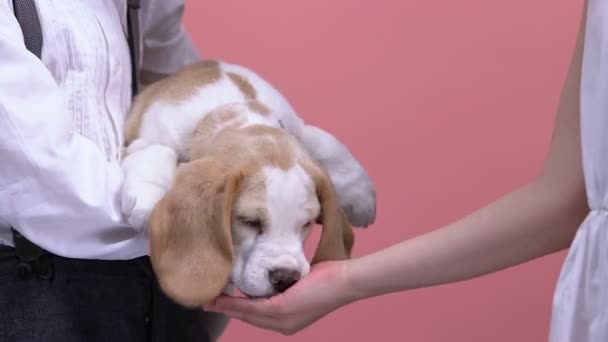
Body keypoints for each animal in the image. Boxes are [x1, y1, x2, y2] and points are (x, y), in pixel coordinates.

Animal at [120, 60, 376, 308]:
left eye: (307, 223)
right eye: (249, 221)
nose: (286, 278)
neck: (232, 111)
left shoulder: (296, 126)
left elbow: (325, 144)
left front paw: (363, 199)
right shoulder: (144, 140)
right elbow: (158, 149)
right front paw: (145, 201)